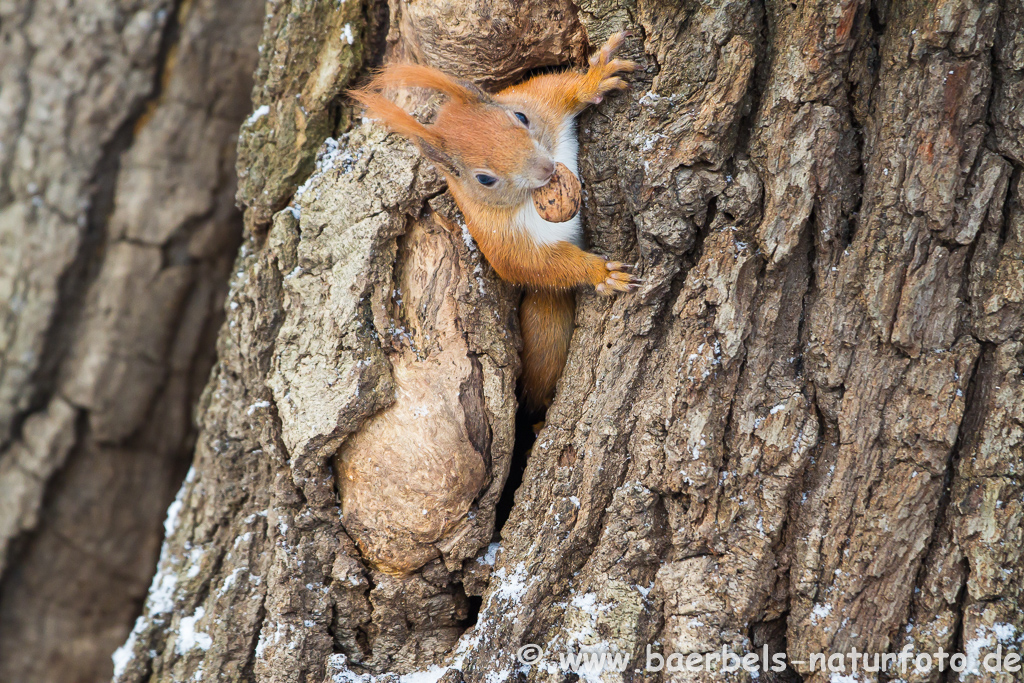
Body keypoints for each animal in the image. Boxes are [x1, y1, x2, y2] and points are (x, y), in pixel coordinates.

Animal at [352, 33, 638, 411]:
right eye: (484, 179)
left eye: (520, 116)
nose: (546, 169)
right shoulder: (500, 237)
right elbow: (531, 264)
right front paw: (600, 273)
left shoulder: (539, 101)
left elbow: (558, 87)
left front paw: (595, 79)